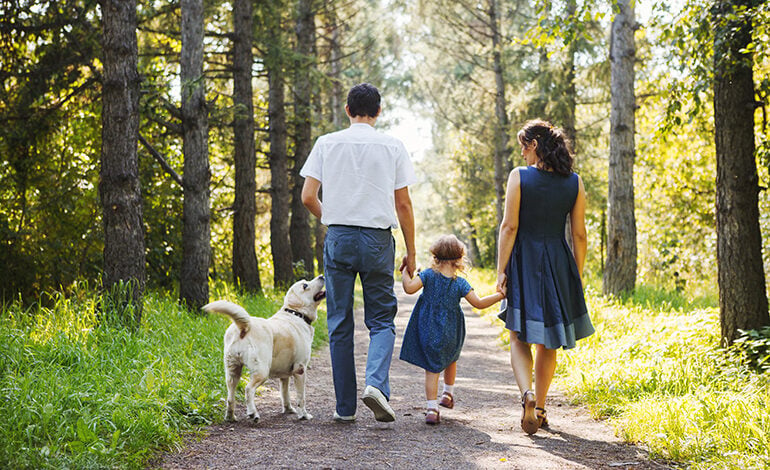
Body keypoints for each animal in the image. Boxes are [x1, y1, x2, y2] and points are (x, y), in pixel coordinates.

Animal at [201, 276, 324, 422]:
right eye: (305, 285)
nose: (322, 276)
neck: (296, 314)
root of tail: (245, 327)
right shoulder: (300, 369)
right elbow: (301, 397)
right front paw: (303, 415)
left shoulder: (285, 375)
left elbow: (285, 394)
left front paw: (288, 410)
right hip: (262, 371)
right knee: (248, 389)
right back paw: (253, 413)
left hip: (232, 371)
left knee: (230, 395)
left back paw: (230, 416)